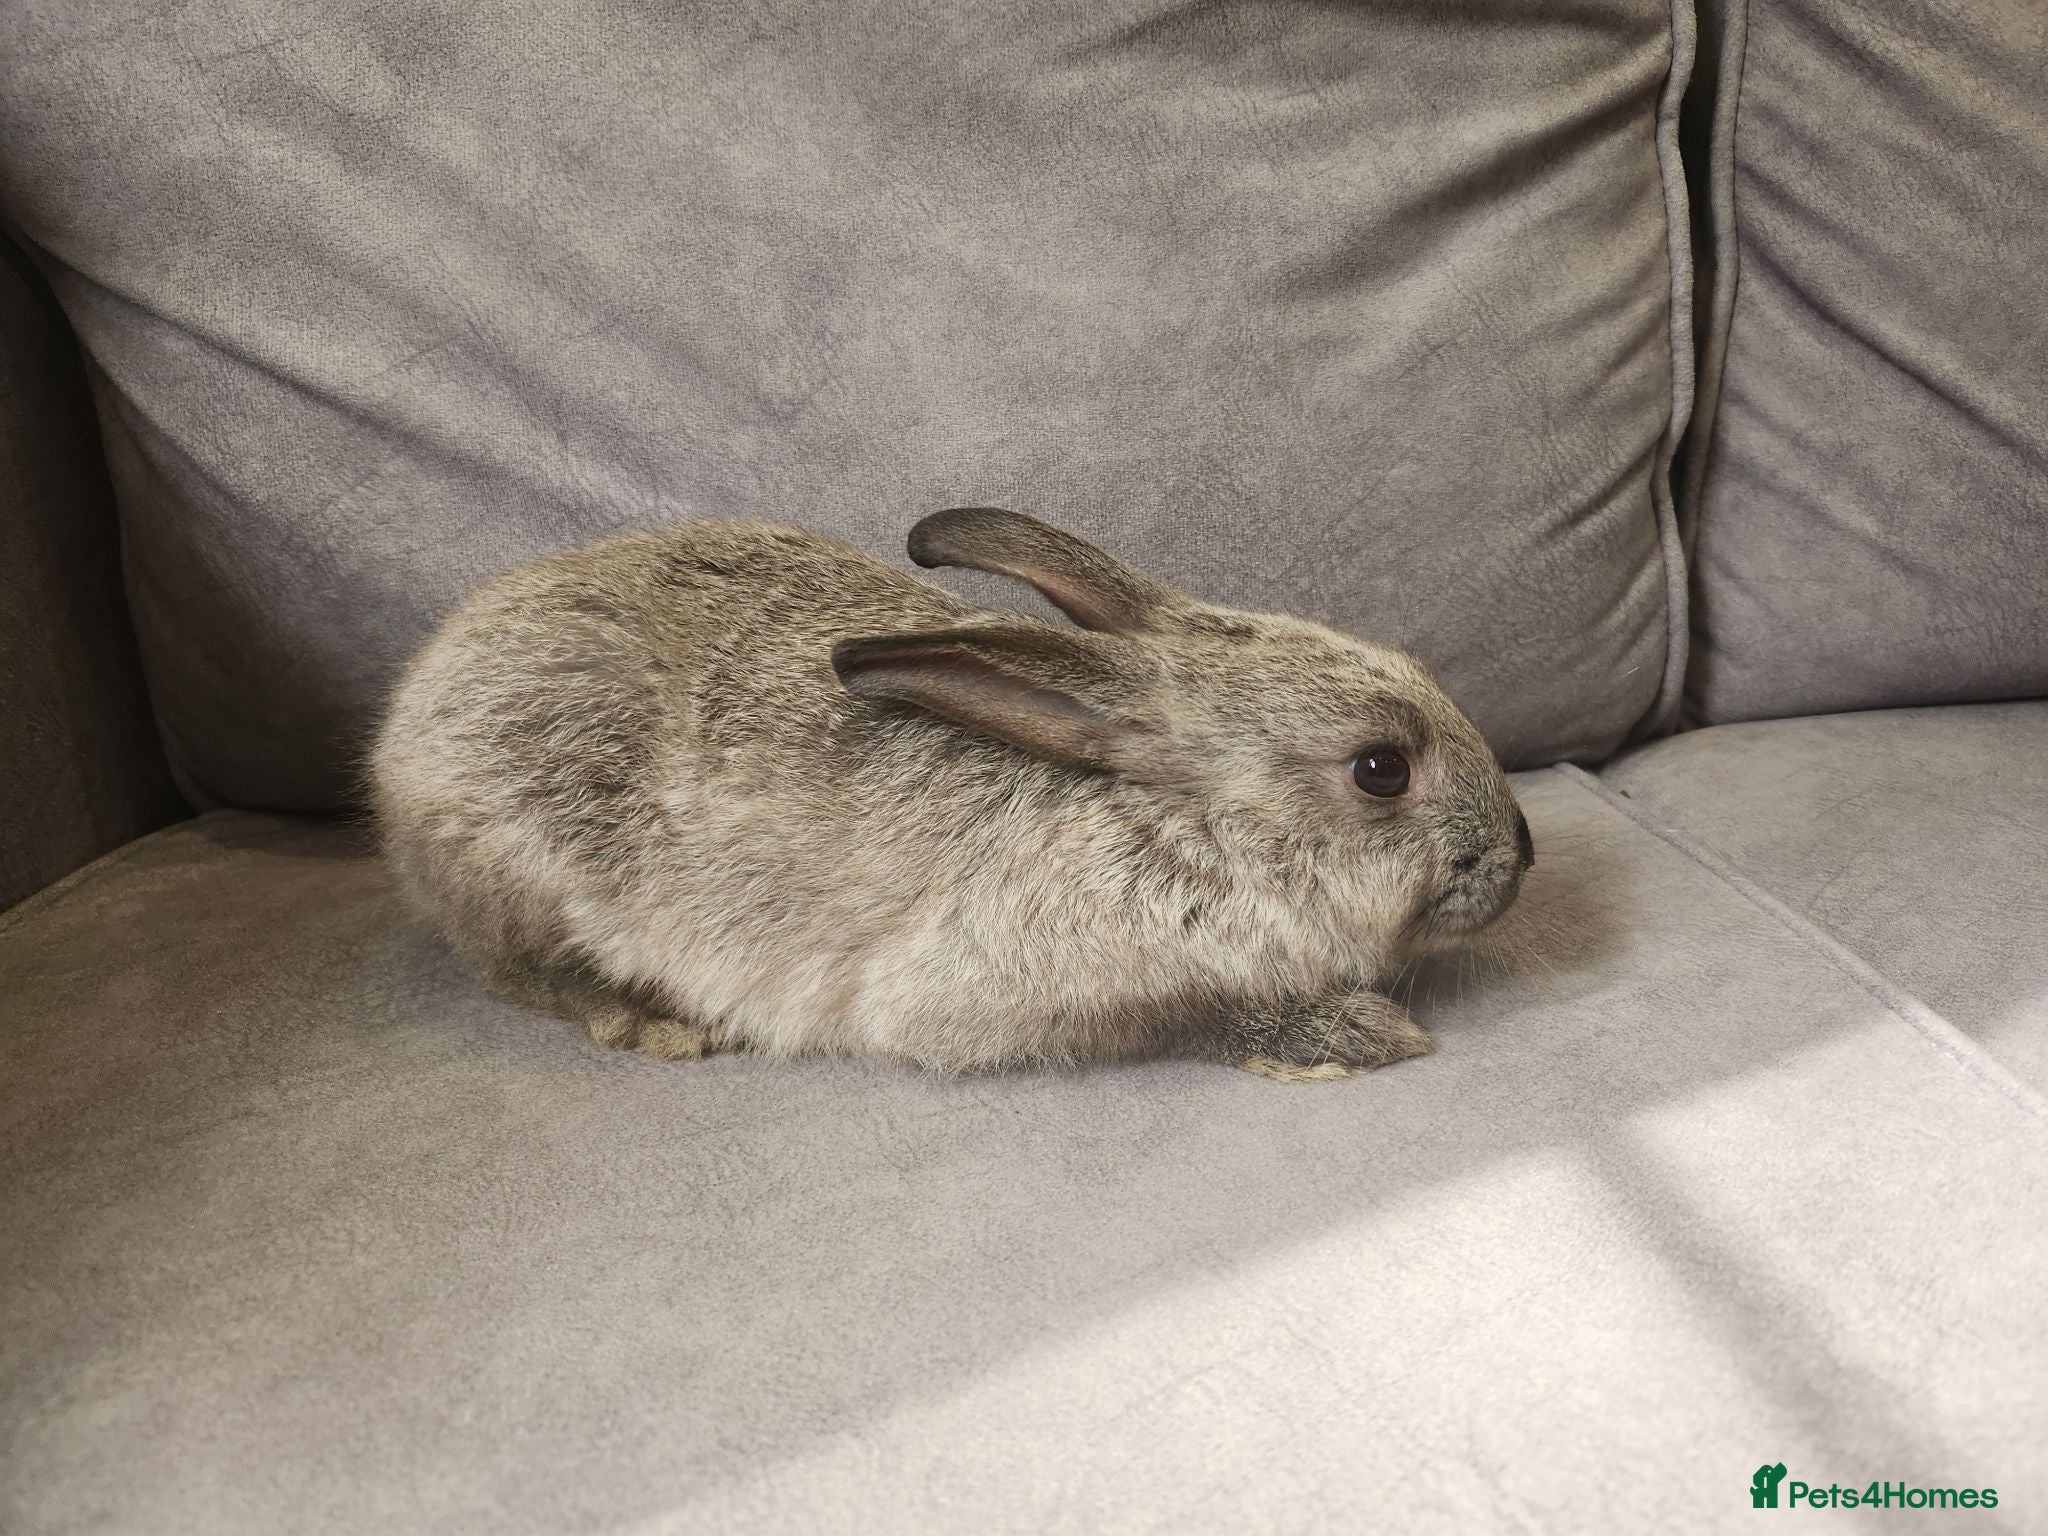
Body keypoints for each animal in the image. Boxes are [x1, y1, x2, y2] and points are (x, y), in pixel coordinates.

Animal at [369, 507, 1533, 1082]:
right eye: (1380, 769)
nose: (1522, 855)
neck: (1184, 827)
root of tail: (403, 732)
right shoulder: (1000, 991)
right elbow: (1189, 1015)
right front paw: (1355, 1039)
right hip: (519, 865)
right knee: (518, 973)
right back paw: (652, 1023)